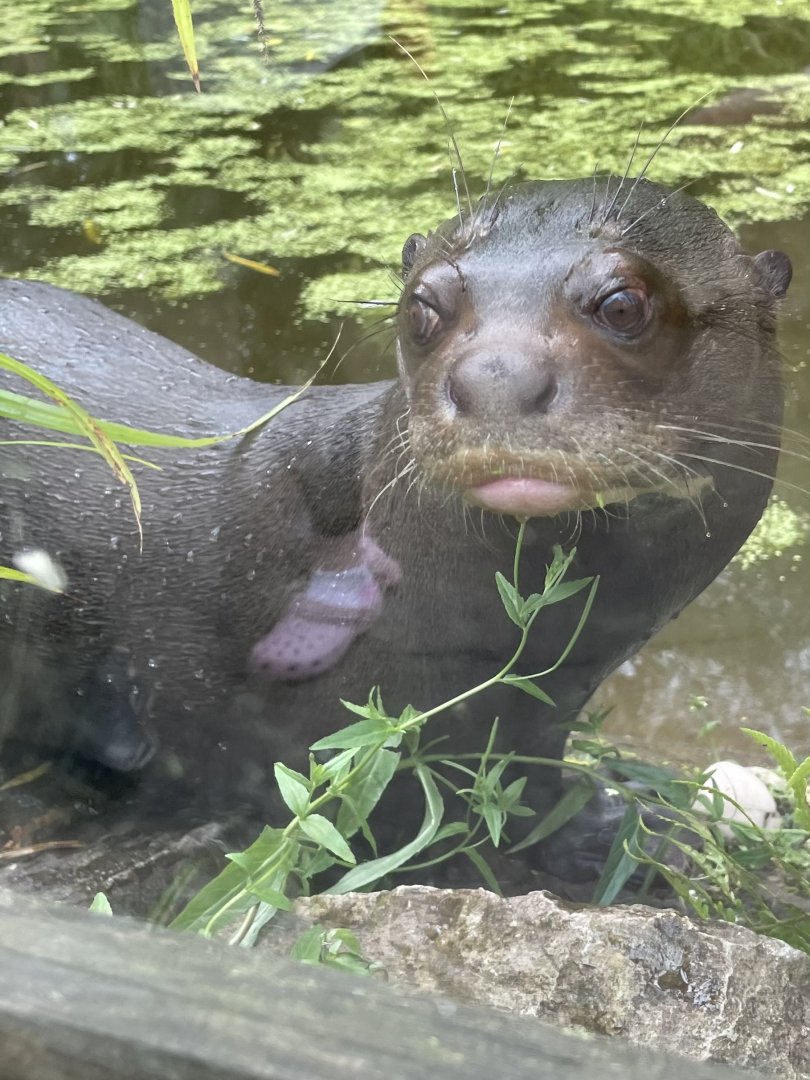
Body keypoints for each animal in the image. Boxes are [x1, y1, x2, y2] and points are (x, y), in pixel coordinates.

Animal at [0, 178, 792, 873]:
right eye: (421, 307)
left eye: (623, 303)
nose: (496, 378)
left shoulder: (548, 702)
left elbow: (531, 784)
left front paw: (619, 833)